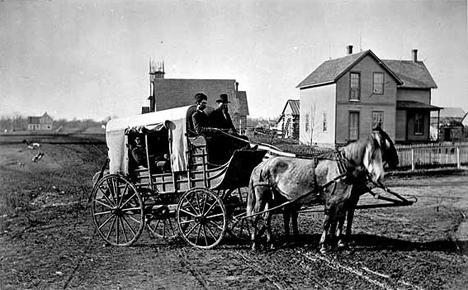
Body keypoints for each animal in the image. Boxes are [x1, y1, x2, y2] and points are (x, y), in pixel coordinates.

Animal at [245, 126, 398, 251]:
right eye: (386, 143)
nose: (396, 161)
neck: (343, 167)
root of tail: (261, 165)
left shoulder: (341, 201)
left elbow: (336, 221)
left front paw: (335, 242)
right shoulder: (332, 201)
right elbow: (328, 221)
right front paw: (324, 244)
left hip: (274, 198)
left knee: (267, 217)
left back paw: (271, 242)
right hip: (262, 197)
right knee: (256, 216)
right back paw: (255, 243)